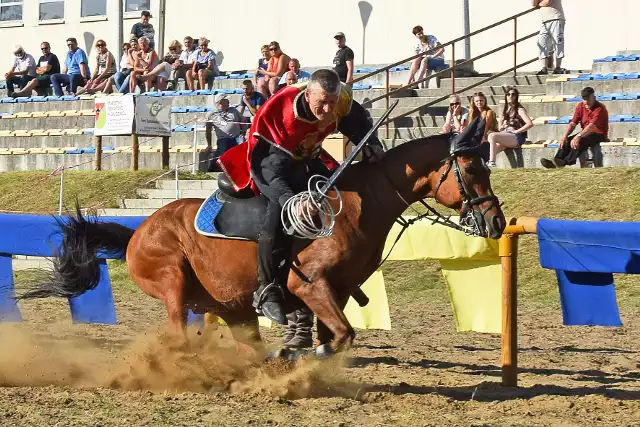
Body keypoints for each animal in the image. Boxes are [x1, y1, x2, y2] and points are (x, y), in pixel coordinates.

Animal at [21, 127, 504, 358]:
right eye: (473, 170)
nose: (496, 220)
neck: (355, 204)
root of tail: (138, 230)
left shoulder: (333, 293)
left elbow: (335, 335)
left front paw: (300, 353)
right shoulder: (308, 286)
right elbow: (341, 336)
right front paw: (302, 354)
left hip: (229, 304)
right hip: (172, 279)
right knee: (177, 330)